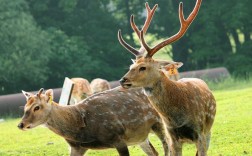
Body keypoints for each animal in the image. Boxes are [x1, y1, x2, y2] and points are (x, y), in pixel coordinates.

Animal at [18, 88, 169, 156]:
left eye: (37, 107)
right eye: (25, 107)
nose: (20, 124)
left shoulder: (117, 138)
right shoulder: (76, 147)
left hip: (160, 122)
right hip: (140, 137)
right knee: (154, 153)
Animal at [118, 0, 217, 155]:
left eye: (143, 67)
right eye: (131, 66)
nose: (123, 80)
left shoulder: (199, 132)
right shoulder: (172, 136)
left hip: (208, 132)